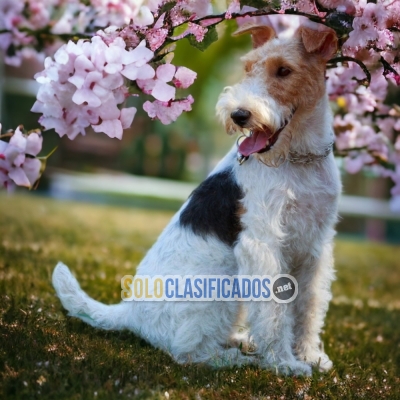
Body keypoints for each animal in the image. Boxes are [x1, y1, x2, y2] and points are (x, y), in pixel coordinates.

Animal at [52, 21, 340, 376]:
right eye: (248, 68)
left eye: (284, 70)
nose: (239, 115)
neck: (299, 158)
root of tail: (129, 311)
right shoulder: (263, 244)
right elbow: (274, 312)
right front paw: (284, 363)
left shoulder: (316, 245)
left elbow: (308, 305)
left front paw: (310, 356)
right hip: (219, 289)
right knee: (187, 352)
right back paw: (235, 358)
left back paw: (242, 341)